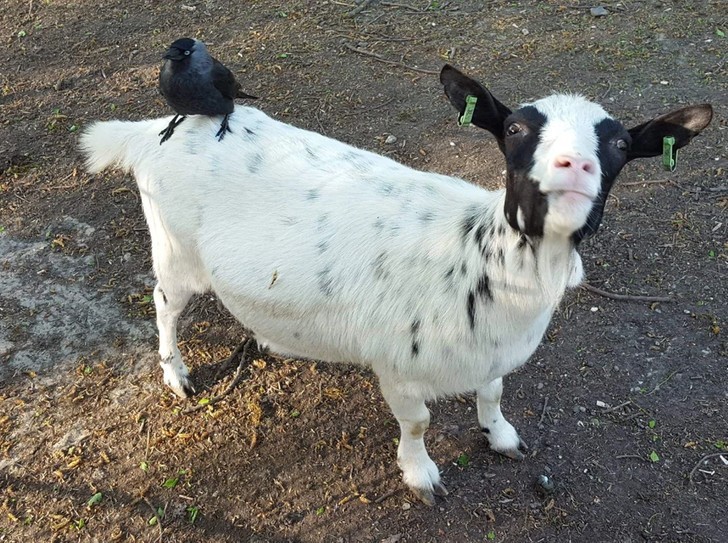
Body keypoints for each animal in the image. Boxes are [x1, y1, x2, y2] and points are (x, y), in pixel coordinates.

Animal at [79, 67, 712, 506]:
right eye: (513, 129)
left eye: (621, 145)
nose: (573, 168)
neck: (477, 254)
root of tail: (151, 133)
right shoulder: (398, 366)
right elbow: (418, 423)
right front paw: (421, 475)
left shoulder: (492, 355)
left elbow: (492, 394)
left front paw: (502, 436)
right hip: (174, 249)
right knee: (164, 306)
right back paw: (177, 374)